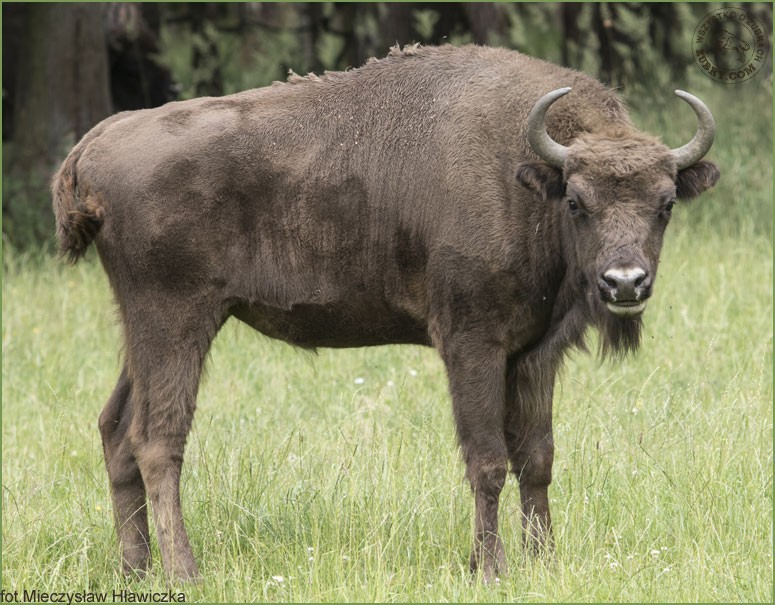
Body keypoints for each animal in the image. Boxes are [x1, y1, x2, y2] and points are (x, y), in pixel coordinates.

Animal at [53, 43, 720, 580]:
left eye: (665, 203)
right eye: (578, 202)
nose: (624, 283)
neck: (527, 179)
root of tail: (96, 145)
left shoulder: (534, 355)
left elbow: (536, 458)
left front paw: (545, 562)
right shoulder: (472, 345)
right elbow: (487, 458)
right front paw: (490, 568)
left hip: (144, 333)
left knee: (116, 430)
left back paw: (136, 570)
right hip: (176, 323)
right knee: (156, 440)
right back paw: (185, 572)